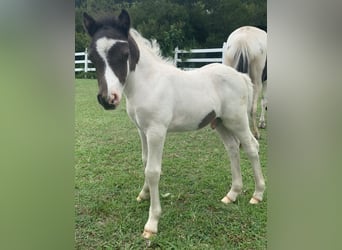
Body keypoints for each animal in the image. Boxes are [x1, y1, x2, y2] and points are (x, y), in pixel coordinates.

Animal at [83, 9, 264, 239]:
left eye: (124, 53)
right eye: (91, 57)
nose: (108, 99)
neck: (148, 83)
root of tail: (241, 76)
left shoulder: (156, 131)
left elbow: (153, 171)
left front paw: (152, 223)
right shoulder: (142, 130)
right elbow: (145, 162)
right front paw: (144, 194)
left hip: (237, 120)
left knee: (251, 147)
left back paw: (257, 194)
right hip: (221, 122)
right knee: (232, 148)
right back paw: (232, 194)